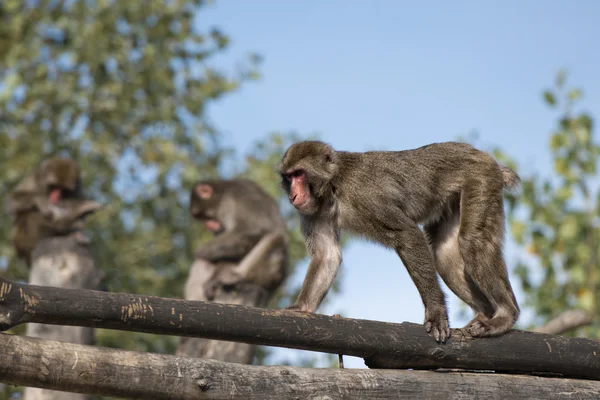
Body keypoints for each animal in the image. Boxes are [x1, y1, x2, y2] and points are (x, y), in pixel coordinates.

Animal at [280, 139, 520, 342]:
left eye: (300, 174)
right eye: (288, 178)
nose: (293, 196)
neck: (334, 186)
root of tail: (479, 153)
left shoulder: (366, 197)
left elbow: (408, 234)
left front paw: (435, 312)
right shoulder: (314, 212)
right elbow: (326, 255)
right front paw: (302, 307)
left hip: (480, 177)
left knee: (473, 241)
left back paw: (505, 315)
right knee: (444, 255)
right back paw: (486, 313)